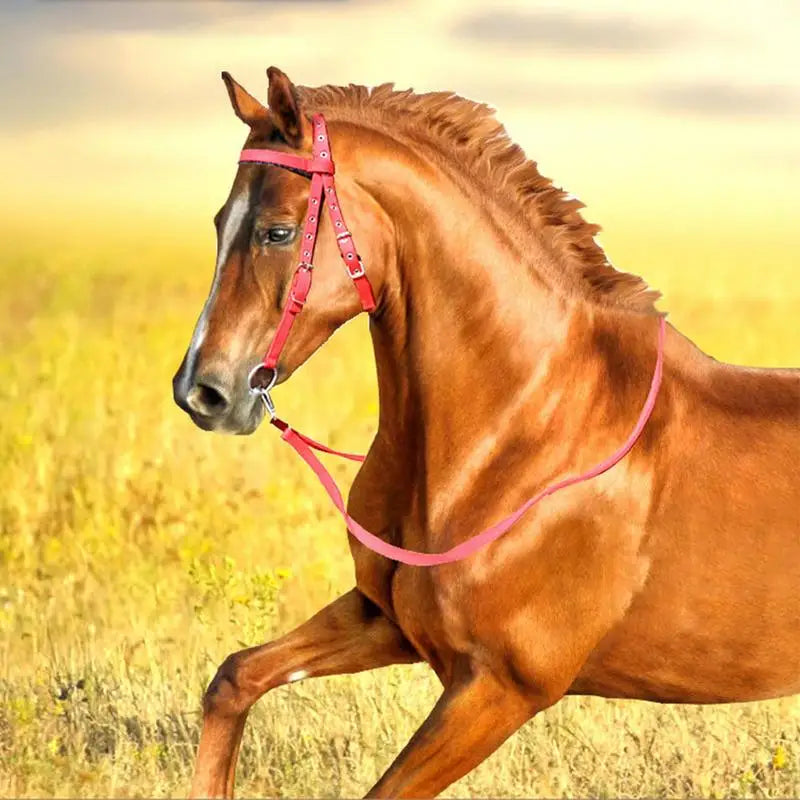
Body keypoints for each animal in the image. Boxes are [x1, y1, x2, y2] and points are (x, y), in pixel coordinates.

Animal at [172, 66, 800, 798]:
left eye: (276, 231)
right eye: (221, 223)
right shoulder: (386, 621)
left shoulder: (500, 689)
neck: (524, 429)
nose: (202, 391)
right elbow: (233, 678)